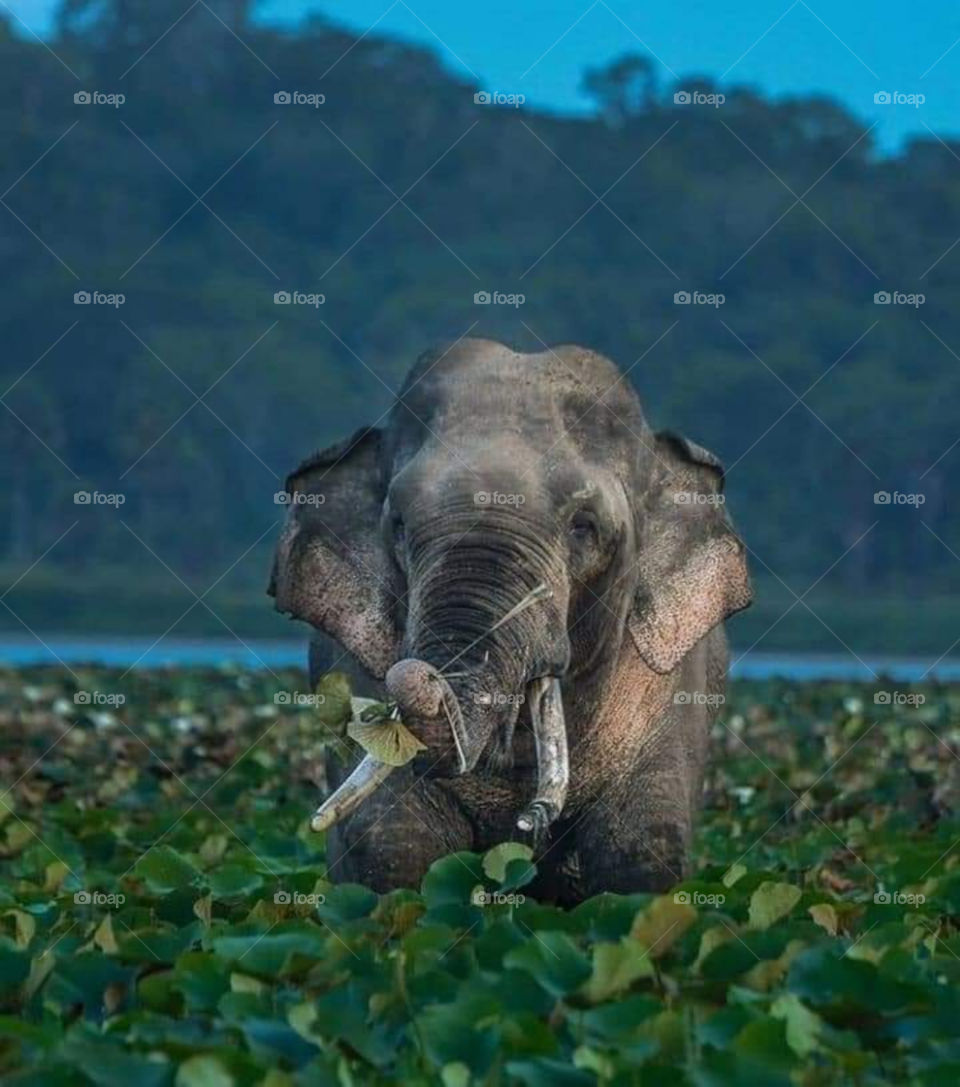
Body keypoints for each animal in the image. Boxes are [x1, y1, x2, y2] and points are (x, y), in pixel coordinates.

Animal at [269, 338, 751, 904]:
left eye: (584, 527)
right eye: (399, 525)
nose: (530, 825)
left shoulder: (672, 687)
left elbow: (639, 853)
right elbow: (397, 846)